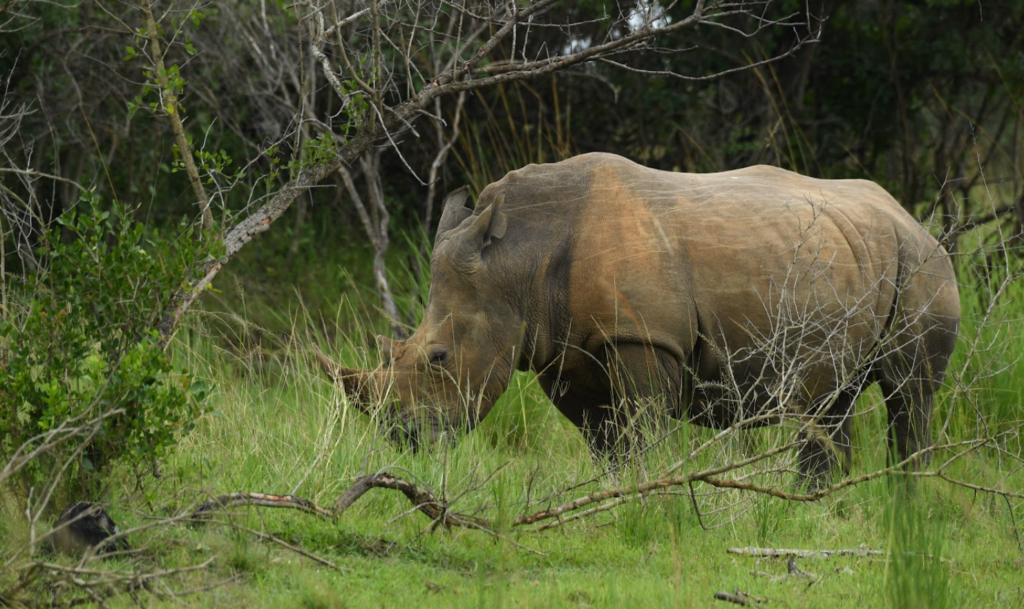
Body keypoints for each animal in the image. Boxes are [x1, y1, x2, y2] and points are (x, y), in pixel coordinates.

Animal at [319, 153, 959, 480]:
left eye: (439, 357)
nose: (401, 437)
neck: (518, 257)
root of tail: (914, 218)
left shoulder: (644, 338)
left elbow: (642, 427)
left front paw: (643, 496)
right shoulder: (564, 351)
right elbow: (605, 439)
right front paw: (611, 496)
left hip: (921, 264)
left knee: (909, 392)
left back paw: (908, 499)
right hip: (859, 254)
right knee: (832, 397)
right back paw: (824, 503)